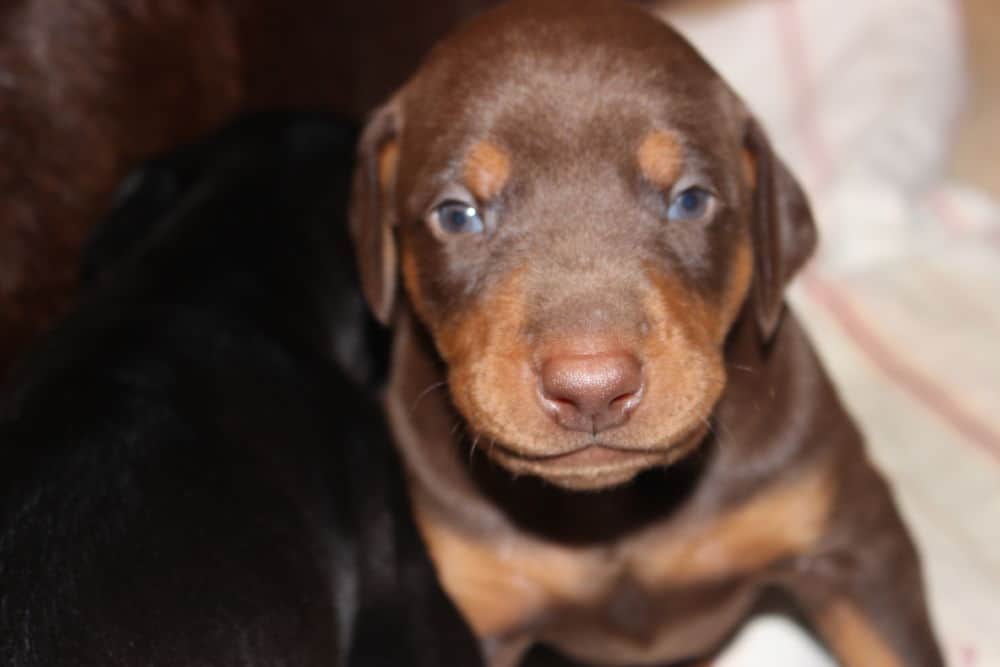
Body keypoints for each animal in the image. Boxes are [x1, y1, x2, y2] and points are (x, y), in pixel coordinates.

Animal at [352, 2, 944, 664]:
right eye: (457, 214)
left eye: (690, 200)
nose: (591, 389)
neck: (616, 509)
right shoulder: (471, 606)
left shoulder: (854, 545)